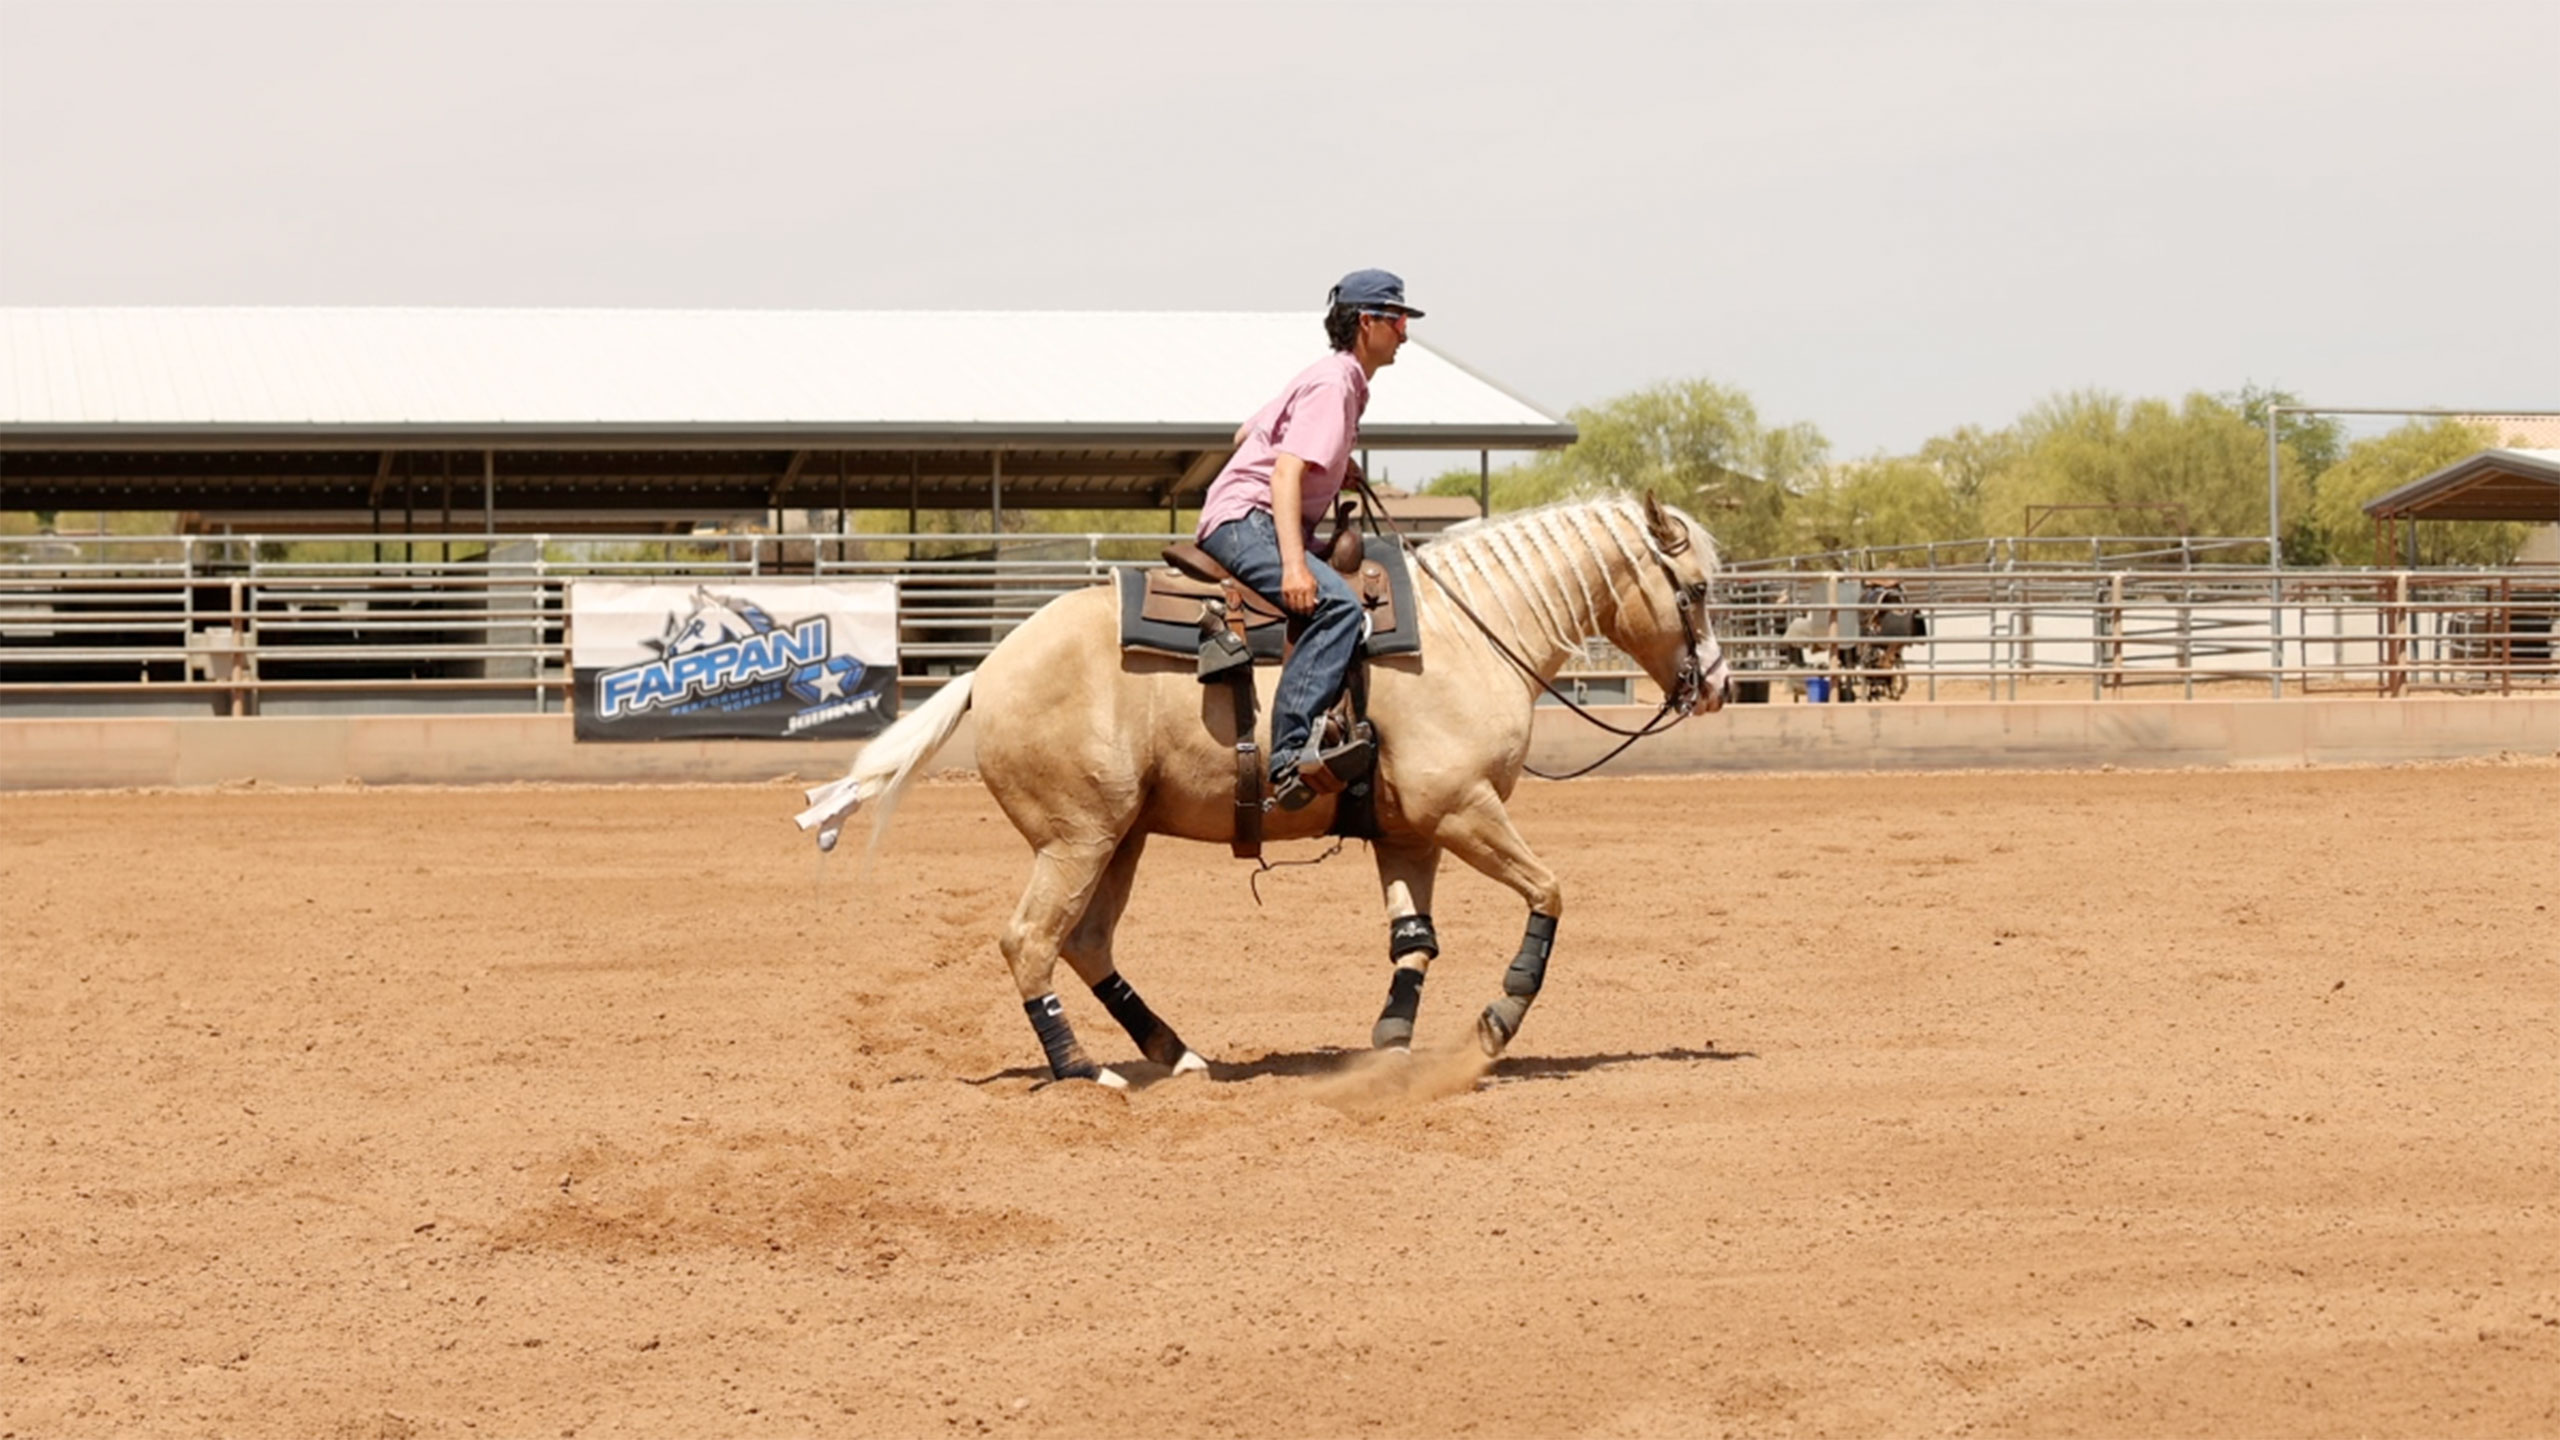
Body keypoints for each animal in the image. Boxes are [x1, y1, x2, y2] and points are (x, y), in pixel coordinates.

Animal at [794, 492, 1733, 1088]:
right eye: (1695, 590)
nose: (1719, 685)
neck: (1470, 633)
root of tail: (984, 672)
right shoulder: (1463, 809)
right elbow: (1549, 891)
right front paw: (1497, 1021)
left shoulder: (1410, 832)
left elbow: (1414, 941)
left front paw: (1391, 1043)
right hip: (1078, 837)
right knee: (1030, 940)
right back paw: (1084, 1071)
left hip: (1120, 836)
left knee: (1085, 942)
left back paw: (1176, 1054)